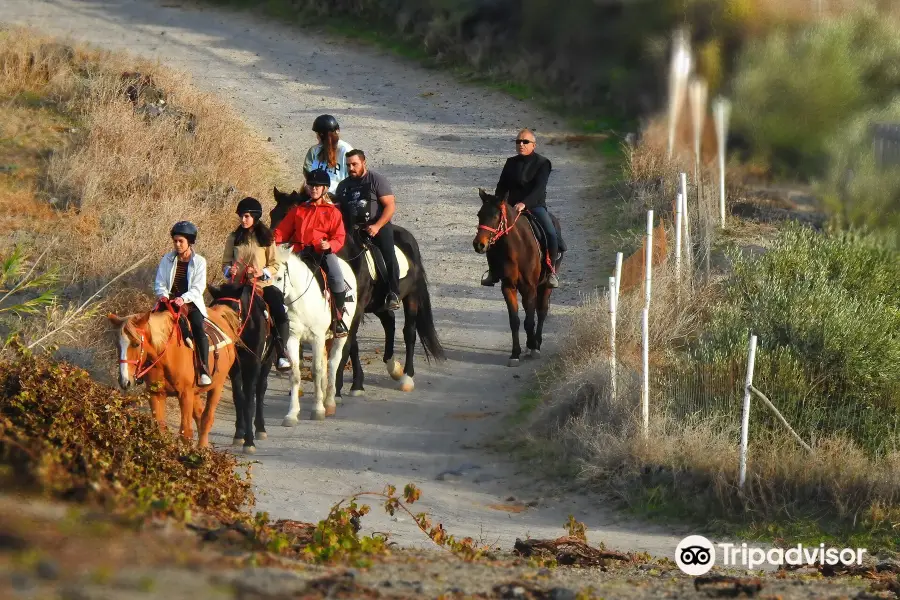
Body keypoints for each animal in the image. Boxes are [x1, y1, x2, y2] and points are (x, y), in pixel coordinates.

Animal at [107, 302, 241, 448]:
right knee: (199, 416)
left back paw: (202, 448)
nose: (124, 381)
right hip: (195, 392)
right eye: (117, 345)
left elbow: (185, 433)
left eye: (136, 344)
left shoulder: (185, 394)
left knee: (207, 419)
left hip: (217, 386)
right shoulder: (156, 394)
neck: (166, 355)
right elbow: (161, 430)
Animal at [207, 282, 274, 454]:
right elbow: (239, 397)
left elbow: (250, 399)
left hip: (267, 361)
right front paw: (239, 434)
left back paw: (261, 428)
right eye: (215, 307)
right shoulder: (235, 367)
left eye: (235, 309)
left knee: (260, 390)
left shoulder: (253, 364)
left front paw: (249, 441)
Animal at [270, 185, 446, 396]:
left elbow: (349, 342)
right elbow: (352, 343)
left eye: (288, 214)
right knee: (389, 322)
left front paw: (344, 386)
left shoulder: (357, 308)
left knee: (409, 331)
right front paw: (356, 384)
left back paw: (406, 376)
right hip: (378, 304)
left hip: (410, 296)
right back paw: (392, 366)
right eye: (272, 214)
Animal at [270, 241, 358, 420]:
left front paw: (318, 410)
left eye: (280, 278)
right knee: (325, 363)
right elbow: (295, 373)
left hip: (339, 337)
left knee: (332, 364)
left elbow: (316, 371)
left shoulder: (316, 337)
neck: (301, 302)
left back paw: (329, 402)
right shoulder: (293, 338)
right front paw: (292, 414)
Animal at [472, 188, 564, 366]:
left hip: (544, 286)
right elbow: (514, 320)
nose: (479, 244)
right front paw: (515, 353)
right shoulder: (509, 287)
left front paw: (533, 347)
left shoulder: (530, 287)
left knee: (541, 311)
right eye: (479, 214)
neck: (517, 248)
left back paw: (537, 342)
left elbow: (530, 319)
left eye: (495, 216)